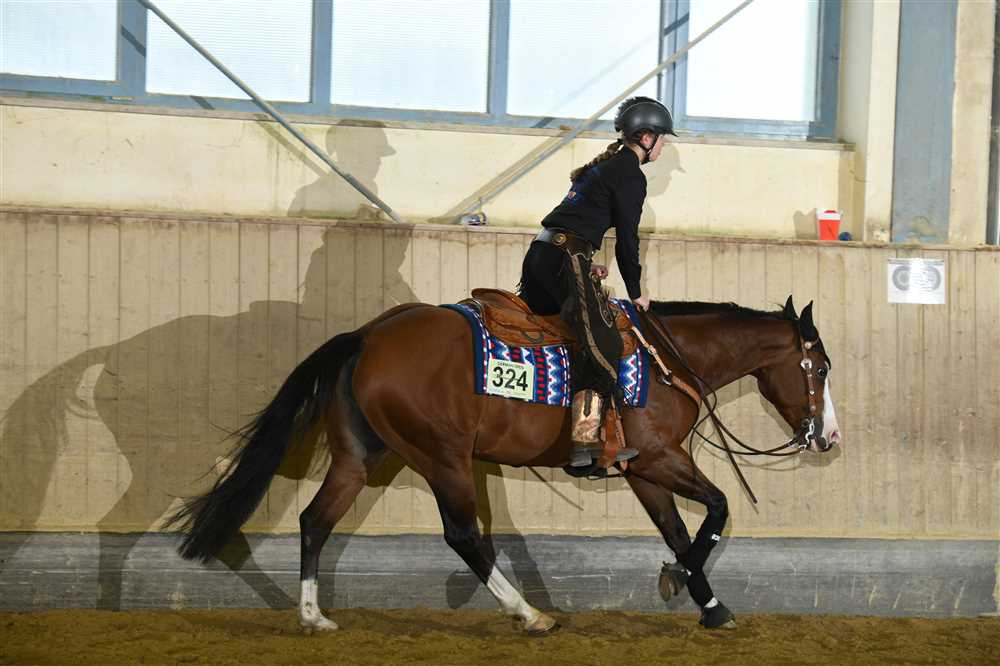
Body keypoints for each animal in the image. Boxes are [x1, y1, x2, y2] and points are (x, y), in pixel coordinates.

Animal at [165, 293, 840, 633]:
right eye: (820, 367)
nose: (828, 437)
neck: (666, 357)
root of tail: (367, 336)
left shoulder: (642, 468)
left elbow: (678, 529)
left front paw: (708, 603)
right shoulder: (658, 457)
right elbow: (718, 509)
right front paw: (682, 583)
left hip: (360, 456)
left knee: (315, 520)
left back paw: (312, 616)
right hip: (443, 457)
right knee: (465, 535)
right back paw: (529, 613)